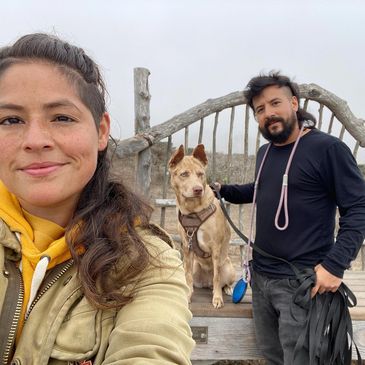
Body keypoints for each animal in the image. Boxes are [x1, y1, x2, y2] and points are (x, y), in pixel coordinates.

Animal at [168, 144, 235, 306]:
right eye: (184, 174)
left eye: (200, 174)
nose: (198, 189)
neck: (193, 210)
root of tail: (207, 282)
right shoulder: (187, 247)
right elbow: (187, 276)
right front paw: (187, 295)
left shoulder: (216, 247)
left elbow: (217, 276)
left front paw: (217, 298)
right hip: (195, 265)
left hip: (228, 267)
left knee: (222, 281)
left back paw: (227, 289)